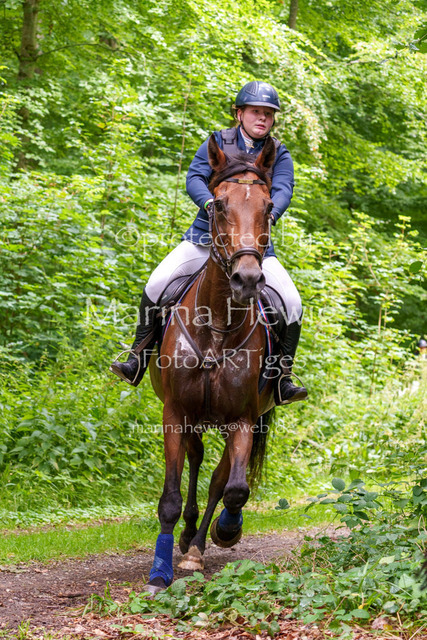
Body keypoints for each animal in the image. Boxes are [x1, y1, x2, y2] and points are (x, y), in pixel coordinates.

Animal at [145, 133, 277, 594]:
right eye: (218, 205)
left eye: (268, 207)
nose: (247, 279)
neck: (218, 322)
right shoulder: (174, 412)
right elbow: (169, 497)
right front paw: (160, 573)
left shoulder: (242, 418)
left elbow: (235, 488)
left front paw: (226, 531)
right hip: (193, 418)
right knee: (196, 458)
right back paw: (186, 538)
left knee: (220, 477)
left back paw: (199, 544)